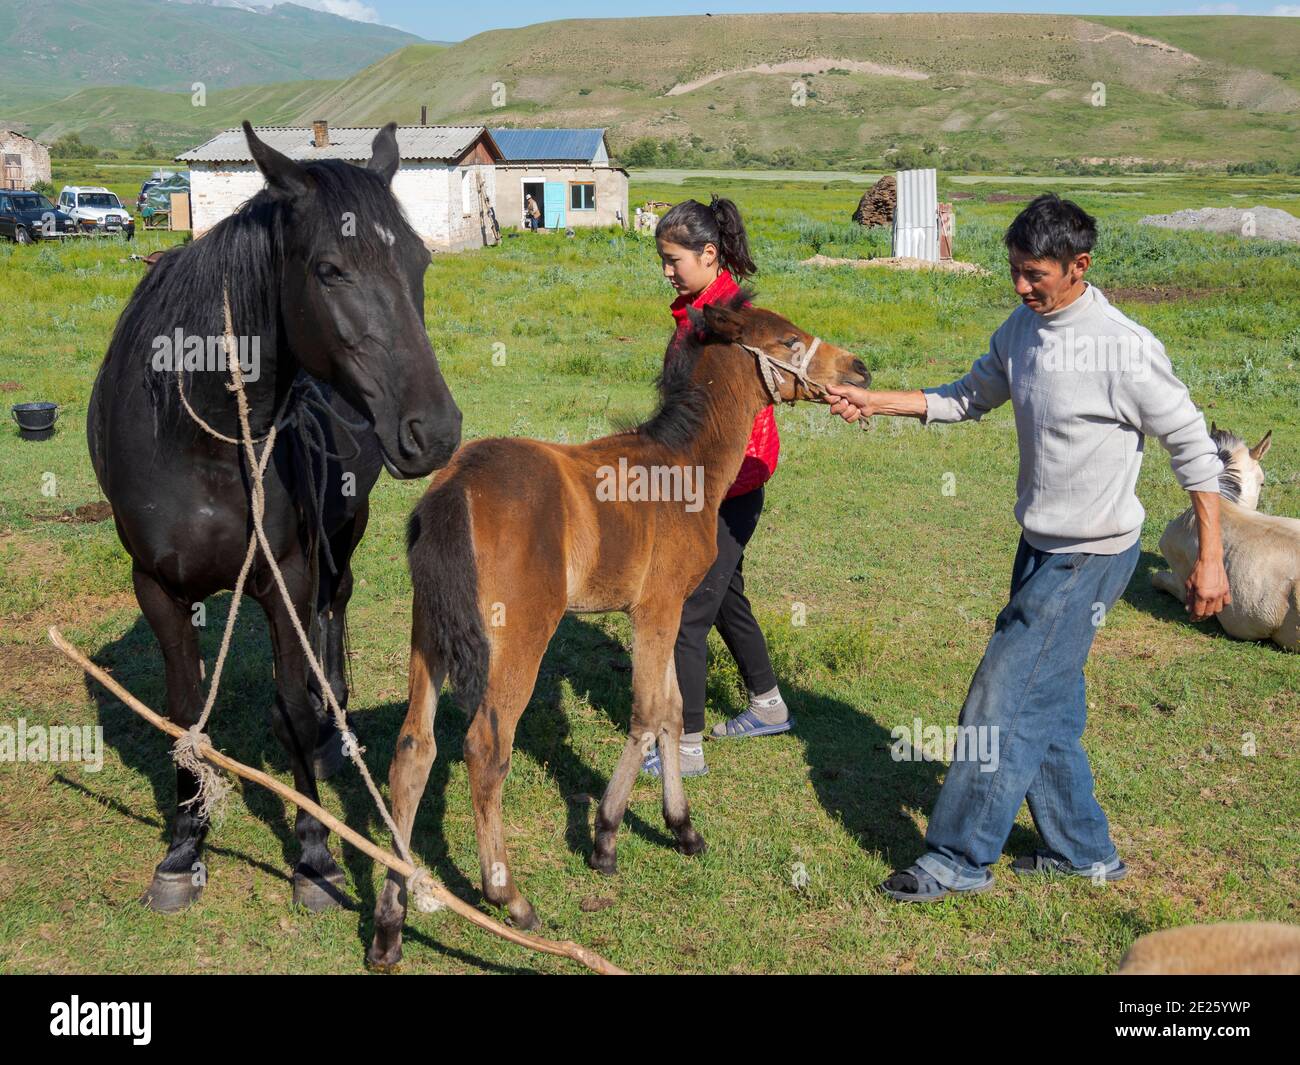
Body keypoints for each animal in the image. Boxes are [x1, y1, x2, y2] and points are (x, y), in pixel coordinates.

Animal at [88, 122, 463, 913]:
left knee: (333, 609)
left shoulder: (285, 572)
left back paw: (334, 726)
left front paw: (315, 855)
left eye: (419, 262)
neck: (198, 443)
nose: (437, 432)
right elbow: (183, 710)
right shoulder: (155, 587)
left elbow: (292, 703)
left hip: (344, 530)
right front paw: (183, 846)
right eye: (328, 270)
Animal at [367, 295, 871, 966]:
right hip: (519, 637)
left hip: (429, 633)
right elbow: (650, 711)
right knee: (484, 749)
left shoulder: (668, 615)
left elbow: (673, 711)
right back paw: (509, 897)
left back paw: (390, 925)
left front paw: (682, 828)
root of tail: (454, 488)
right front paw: (606, 838)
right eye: (788, 340)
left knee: (412, 752)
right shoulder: (657, 608)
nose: (859, 368)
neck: (684, 467)